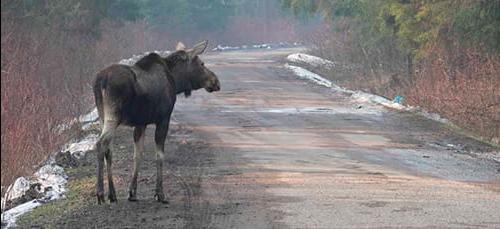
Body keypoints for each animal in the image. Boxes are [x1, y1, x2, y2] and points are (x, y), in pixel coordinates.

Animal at [92, 41, 221, 204]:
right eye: (202, 63)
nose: (216, 81)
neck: (177, 81)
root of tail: (100, 81)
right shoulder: (163, 118)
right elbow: (159, 155)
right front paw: (160, 193)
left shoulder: (141, 123)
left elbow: (138, 154)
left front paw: (132, 192)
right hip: (113, 116)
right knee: (100, 143)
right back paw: (100, 193)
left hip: (102, 116)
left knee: (109, 149)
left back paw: (112, 194)